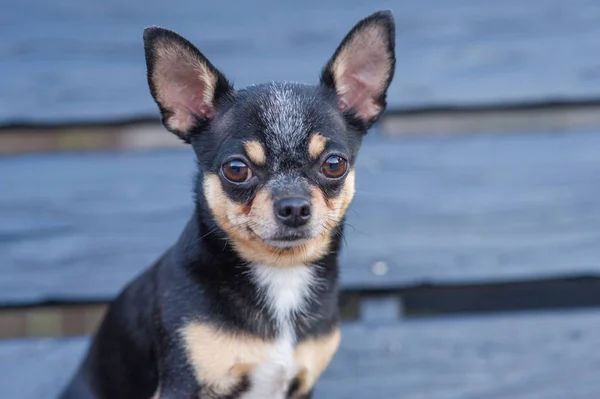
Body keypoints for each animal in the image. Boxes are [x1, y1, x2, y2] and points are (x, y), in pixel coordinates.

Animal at [59, 9, 394, 399]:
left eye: (334, 164)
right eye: (236, 169)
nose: (294, 206)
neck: (280, 273)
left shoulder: (300, 386)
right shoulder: (181, 386)